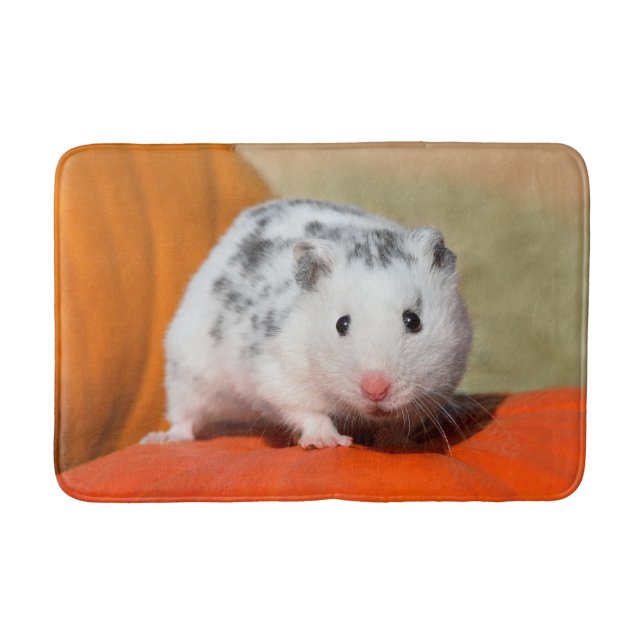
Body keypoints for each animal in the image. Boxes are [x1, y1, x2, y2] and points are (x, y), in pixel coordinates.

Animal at [140, 198, 473, 449]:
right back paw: (161, 439)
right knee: (184, 416)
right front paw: (328, 442)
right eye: (341, 324)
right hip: (187, 372)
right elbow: (307, 411)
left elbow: (400, 425)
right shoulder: (279, 376)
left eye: (413, 320)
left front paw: (397, 443)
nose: (375, 391)